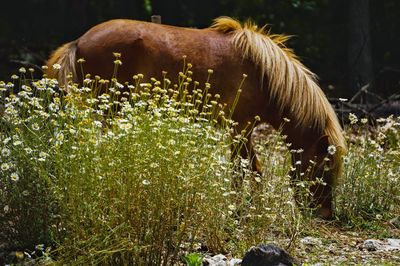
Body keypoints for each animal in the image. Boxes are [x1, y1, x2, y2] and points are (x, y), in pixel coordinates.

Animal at [46, 16, 346, 218]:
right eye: (324, 168)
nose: (325, 214)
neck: (262, 73)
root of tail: (79, 41)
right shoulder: (240, 129)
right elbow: (241, 169)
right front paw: (237, 208)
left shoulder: (244, 130)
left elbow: (254, 168)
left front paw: (252, 207)